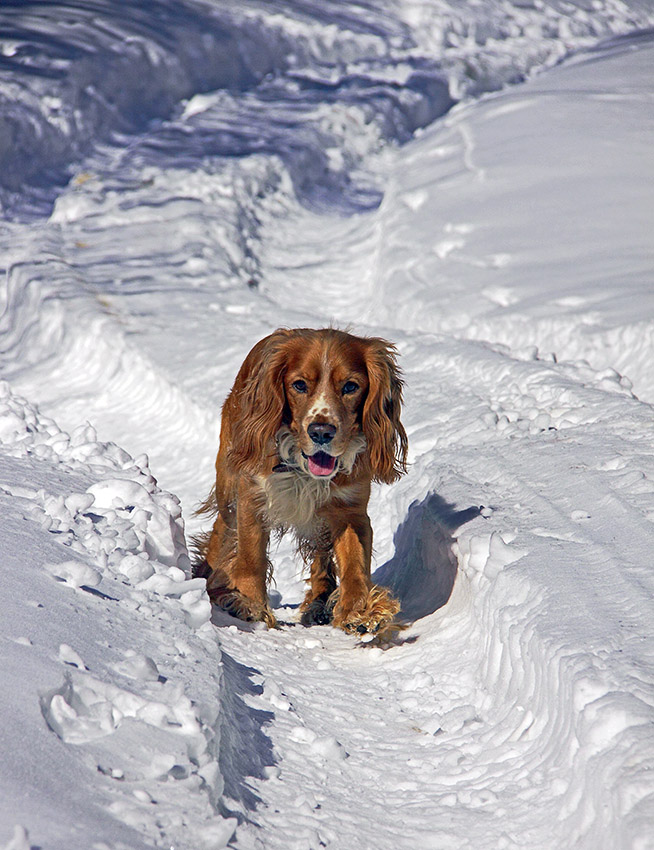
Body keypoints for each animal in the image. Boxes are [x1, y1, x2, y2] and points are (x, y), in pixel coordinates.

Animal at [195, 328, 410, 632]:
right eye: (298, 385)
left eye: (350, 387)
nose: (321, 431)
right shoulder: (252, 496)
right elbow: (250, 556)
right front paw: (249, 604)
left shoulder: (350, 509)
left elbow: (355, 564)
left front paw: (360, 612)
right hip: (229, 488)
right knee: (222, 534)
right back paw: (209, 582)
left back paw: (320, 603)